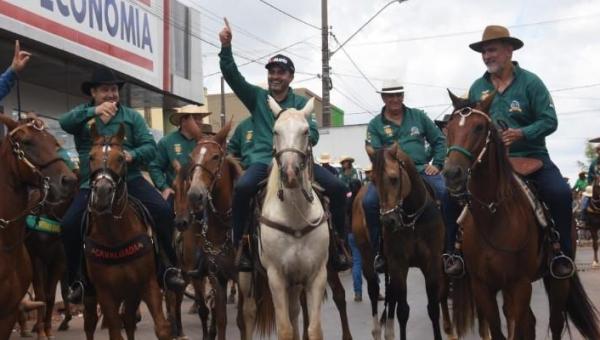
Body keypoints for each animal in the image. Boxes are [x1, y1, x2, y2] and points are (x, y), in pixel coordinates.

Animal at [0, 115, 77, 338]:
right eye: (26, 142)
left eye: (54, 142)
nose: (68, 181)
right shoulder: (37, 259)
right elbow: (41, 295)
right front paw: (42, 330)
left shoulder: (59, 260)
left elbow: (50, 296)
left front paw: (48, 329)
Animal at [82, 124, 171, 340]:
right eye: (91, 157)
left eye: (121, 158)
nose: (102, 193)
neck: (115, 235)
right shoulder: (105, 293)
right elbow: (115, 331)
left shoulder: (147, 284)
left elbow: (162, 328)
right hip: (92, 297)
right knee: (90, 324)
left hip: (131, 294)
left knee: (129, 321)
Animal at [238, 96, 330, 340]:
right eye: (275, 131)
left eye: (306, 131)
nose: (290, 173)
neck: (295, 217)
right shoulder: (276, 277)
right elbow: (285, 329)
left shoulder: (315, 275)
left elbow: (313, 328)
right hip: (245, 278)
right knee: (248, 313)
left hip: (295, 283)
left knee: (294, 311)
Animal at [354, 143, 448, 340]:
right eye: (373, 180)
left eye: (394, 178)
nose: (388, 221)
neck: (412, 219)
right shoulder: (399, 263)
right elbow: (403, 311)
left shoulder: (432, 263)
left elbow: (433, 308)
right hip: (367, 258)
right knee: (374, 291)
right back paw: (377, 330)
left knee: (391, 293)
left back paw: (389, 332)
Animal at [442, 90, 596, 340]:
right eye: (449, 128)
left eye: (479, 127)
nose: (452, 174)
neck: (493, 214)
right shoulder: (482, 286)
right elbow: (498, 330)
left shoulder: (520, 284)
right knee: (530, 322)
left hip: (557, 281)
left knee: (554, 322)